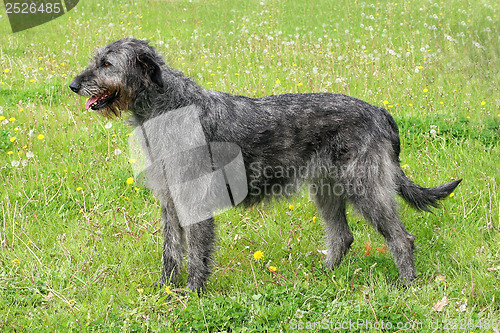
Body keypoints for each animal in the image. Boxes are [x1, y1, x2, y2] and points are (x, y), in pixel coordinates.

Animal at [69, 39, 460, 292]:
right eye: (97, 59)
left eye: (107, 64)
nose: (73, 84)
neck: (168, 107)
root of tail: (380, 112)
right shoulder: (170, 200)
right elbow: (171, 250)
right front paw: (164, 289)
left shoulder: (194, 199)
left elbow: (195, 251)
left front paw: (192, 293)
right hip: (327, 190)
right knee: (342, 236)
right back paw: (323, 275)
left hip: (365, 188)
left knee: (401, 238)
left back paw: (406, 286)